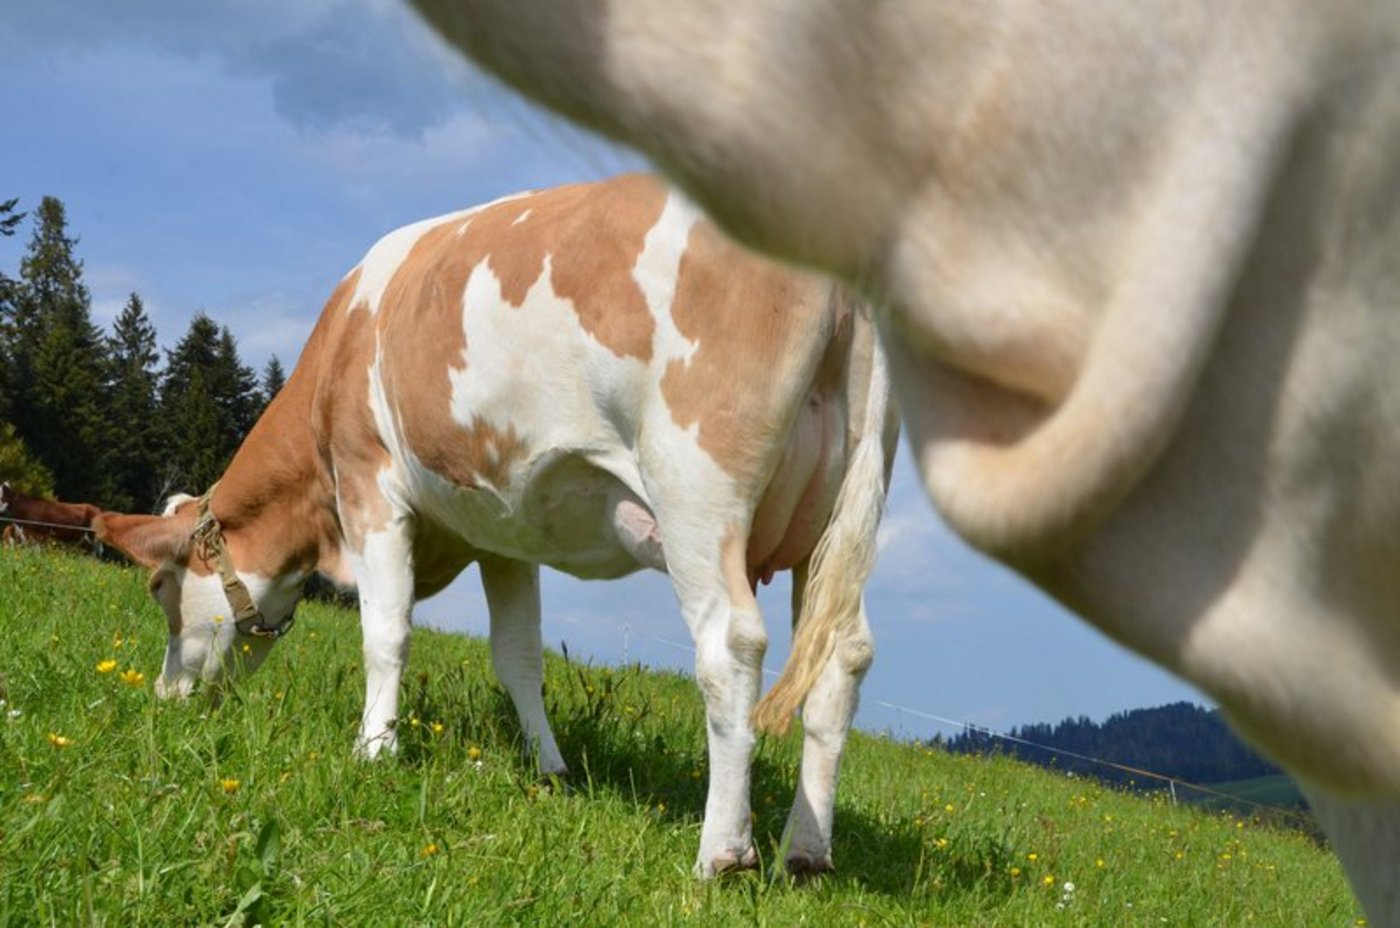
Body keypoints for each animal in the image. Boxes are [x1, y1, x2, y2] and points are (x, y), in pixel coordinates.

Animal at [405, 1, 1400, 919]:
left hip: (699, 479)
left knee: (731, 642)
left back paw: (725, 855)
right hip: (838, 504)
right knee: (840, 654)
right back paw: (807, 854)